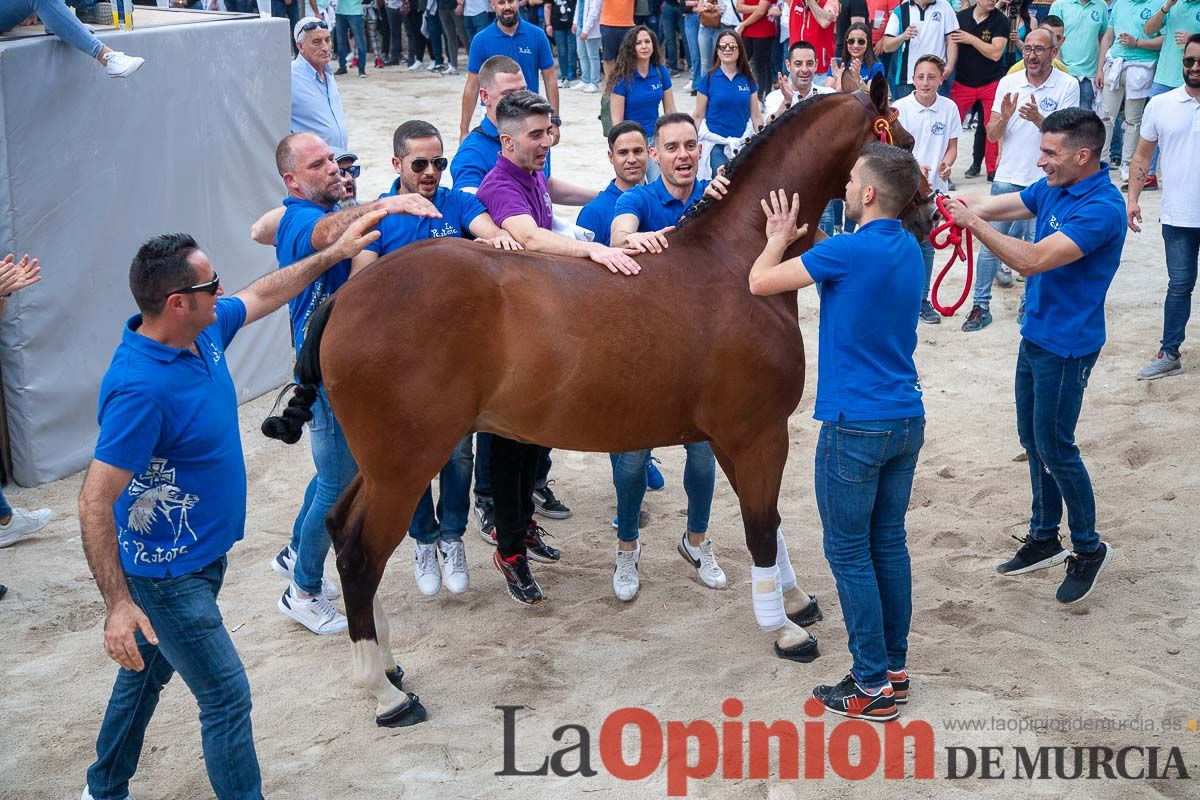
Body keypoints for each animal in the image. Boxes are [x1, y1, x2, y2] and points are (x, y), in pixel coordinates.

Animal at [262, 77, 936, 729]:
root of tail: (347, 295)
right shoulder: (758, 433)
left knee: (340, 529)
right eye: (901, 139)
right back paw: (385, 694)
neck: (739, 262)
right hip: (405, 466)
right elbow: (763, 526)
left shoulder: (737, 438)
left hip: (380, 466)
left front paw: (796, 601)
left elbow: (765, 521)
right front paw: (786, 630)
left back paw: (389, 666)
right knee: (359, 553)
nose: (930, 212)